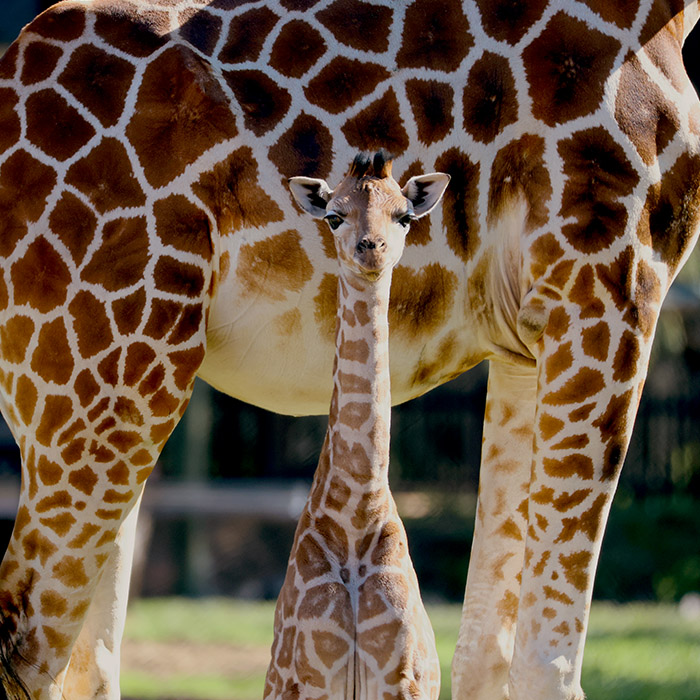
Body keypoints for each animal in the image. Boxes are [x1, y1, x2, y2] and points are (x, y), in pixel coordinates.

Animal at [262, 153, 448, 700]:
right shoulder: (312, 677)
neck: (358, 514)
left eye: (404, 216)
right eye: (334, 216)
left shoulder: (402, 679)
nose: (372, 248)